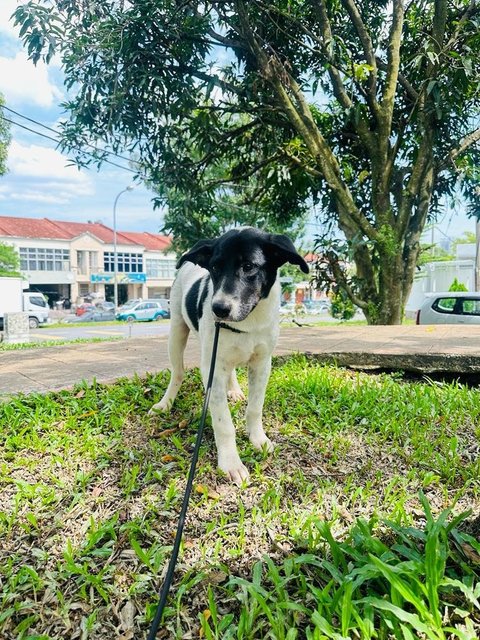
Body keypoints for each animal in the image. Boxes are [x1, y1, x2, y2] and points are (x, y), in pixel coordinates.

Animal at [150, 228, 308, 482]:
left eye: (248, 266)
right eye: (214, 267)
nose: (218, 309)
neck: (248, 322)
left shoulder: (262, 364)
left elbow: (255, 408)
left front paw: (258, 439)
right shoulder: (212, 369)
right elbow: (223, 422)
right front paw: (231, 462)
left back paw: (233, 390)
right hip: (176, 333)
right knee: (178, 373)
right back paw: (166, 403)